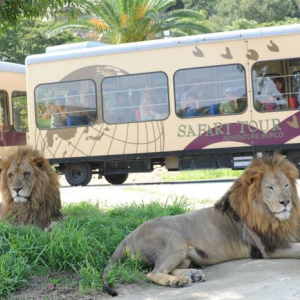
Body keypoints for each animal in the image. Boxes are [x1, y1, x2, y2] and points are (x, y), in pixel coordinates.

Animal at [102, 156, 300, 296]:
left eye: (286, 185)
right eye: (269, 188)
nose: (285, 202)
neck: (272, 216)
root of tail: (130, 235)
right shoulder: (271, 248)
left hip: (184, 254)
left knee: (167, 268)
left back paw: (192, 274)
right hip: (176, 244)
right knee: (153, 273)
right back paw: (178, 281)